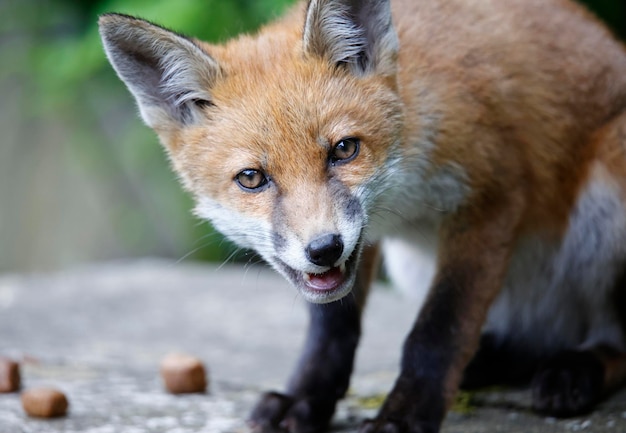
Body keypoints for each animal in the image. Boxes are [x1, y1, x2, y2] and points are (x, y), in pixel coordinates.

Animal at [100, 0, 624, 430]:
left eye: (344, 150)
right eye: (252, 178)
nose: (323, 248)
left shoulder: (493, 195)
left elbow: (438, 330)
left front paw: (406, 414)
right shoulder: (360, 247)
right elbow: (332, 333)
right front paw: (304, 399)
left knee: (612, 340)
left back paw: (575, 369)